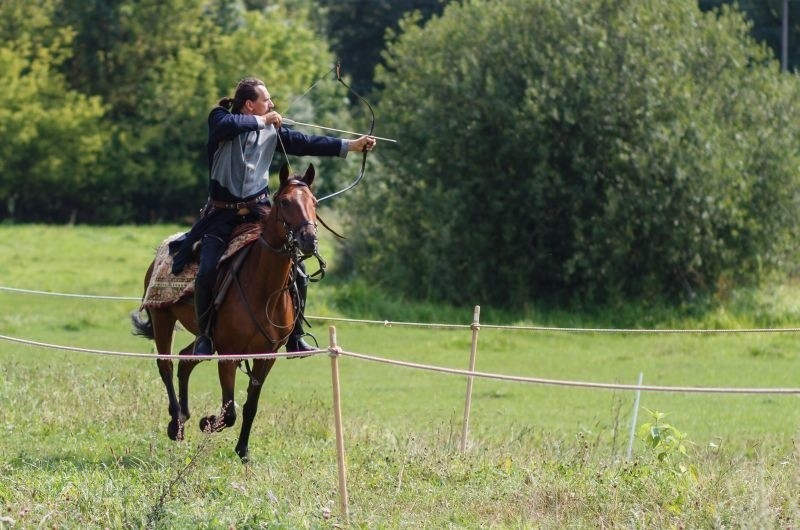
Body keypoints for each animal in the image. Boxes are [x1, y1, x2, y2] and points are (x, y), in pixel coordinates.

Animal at [131, 163, 318, 460]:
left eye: (314, 202)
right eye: (285, 201)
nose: (309, 239)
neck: (262, 287)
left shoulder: (268, 355)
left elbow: (250, 405)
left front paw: (243, 450)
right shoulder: (229, 353)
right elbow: (229, 411)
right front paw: (207, 423)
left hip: (205, 338)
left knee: (186, 359)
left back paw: (184, 415)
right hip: (162, 318)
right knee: (166, 364)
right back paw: (176, 424)